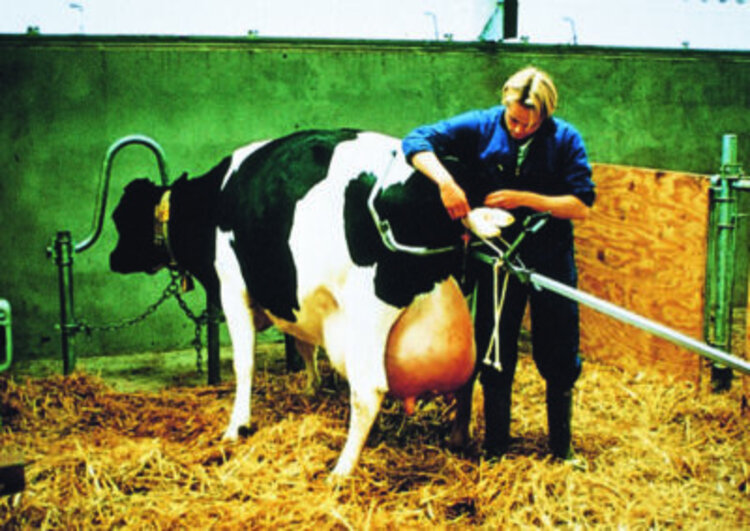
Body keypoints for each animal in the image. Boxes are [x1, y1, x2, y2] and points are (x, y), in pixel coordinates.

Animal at [109, 129, 511, 478]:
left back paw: (342, 470)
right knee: (471, 373)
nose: (113, 259)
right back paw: (458, 437)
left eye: (120, 218)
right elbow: (303, 344)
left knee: (368, 390)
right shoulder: (292, 296)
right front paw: (310, 387)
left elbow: (244, 362)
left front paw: (237, 425)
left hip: (367, 308)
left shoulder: (232, 287)